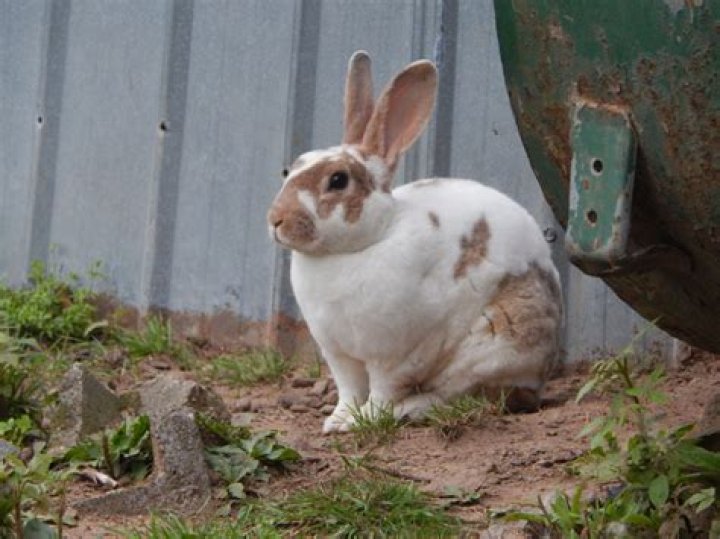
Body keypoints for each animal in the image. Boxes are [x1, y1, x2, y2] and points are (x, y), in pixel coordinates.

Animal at [267, 51, 562, 434]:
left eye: (338, 180)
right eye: (290, 170)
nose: (276, 220)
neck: (356, 248)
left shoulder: (392, 356)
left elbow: (381, 389)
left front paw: (367, 420)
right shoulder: (340, 355)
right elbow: (349, 389)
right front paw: (337, 422)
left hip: (496, 347)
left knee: (469, 395)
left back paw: (408, 410)